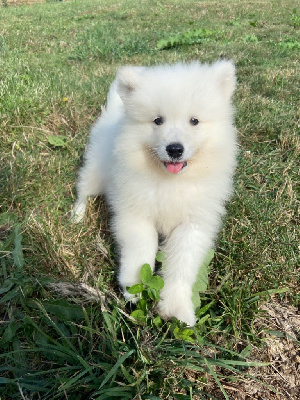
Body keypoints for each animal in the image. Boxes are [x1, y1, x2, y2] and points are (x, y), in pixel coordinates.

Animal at [72, 61, 237, 326]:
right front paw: (134, 290)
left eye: (194, 121)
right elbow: (140, 252)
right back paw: (77, 216)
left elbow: (182, 265)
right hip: (95, 172)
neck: (172, 182)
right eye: (158, 120)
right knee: (83, 191)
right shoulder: (136, 213)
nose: (175, 149)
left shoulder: (192, 224)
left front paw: (177, 309)